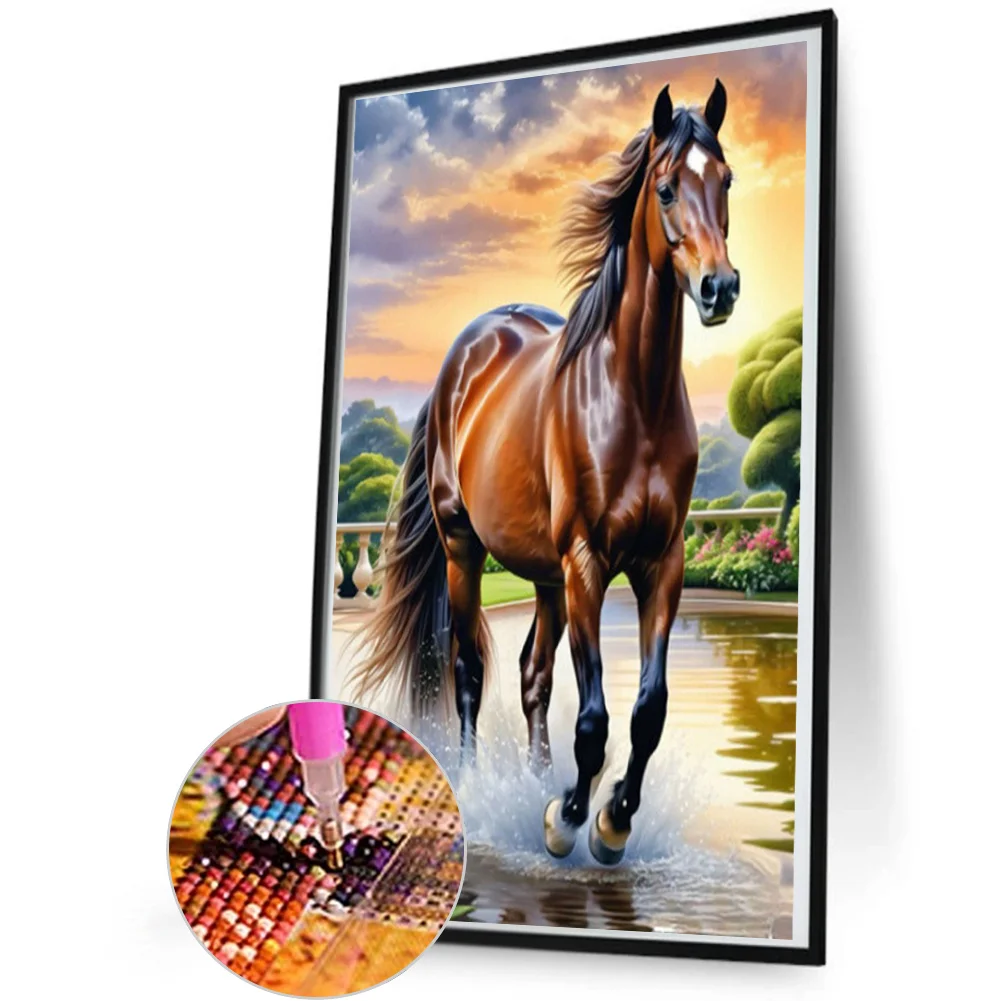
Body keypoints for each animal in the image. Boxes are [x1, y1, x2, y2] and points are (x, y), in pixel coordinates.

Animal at [350, 79, 739, 864]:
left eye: (727, 179)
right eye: (665, 187)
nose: (720, 288)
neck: (632, 397)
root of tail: (465, 354)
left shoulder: (662, 563)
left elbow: (647, 709)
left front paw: (611, 819)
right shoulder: (587, 560)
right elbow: (592, 719)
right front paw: (568, 817)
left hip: (544, 576)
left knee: (533, 674)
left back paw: (534, 782)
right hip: (466, 547)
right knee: (469, 669)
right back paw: (475, 789)